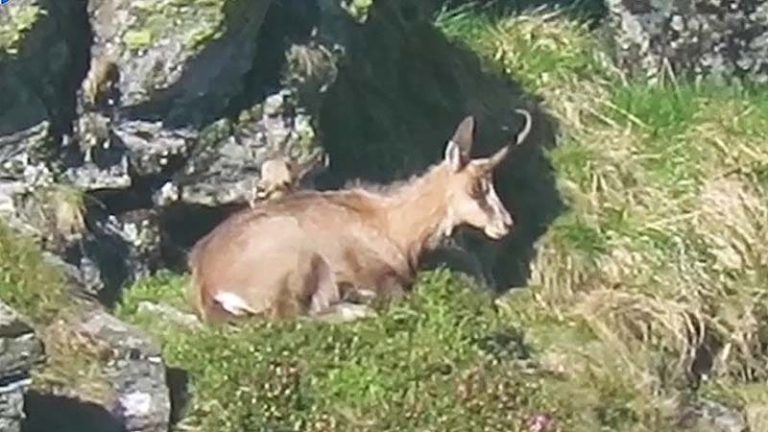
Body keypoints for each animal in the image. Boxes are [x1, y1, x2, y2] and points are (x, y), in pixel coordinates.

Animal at [188, 109, 533, 324]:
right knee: (289, 318)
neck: (390, 222)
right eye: (476, 188)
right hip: (294, 261)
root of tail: (209, 280)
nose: (506, 224)